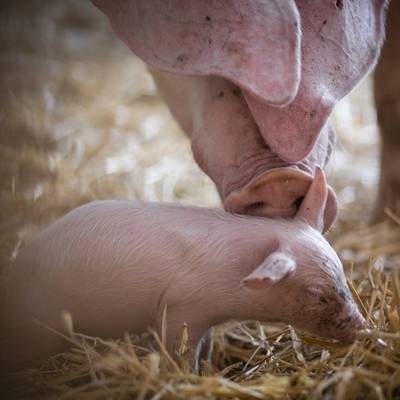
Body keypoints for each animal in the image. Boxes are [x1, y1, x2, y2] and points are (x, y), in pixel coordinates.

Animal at [0, 170, 366, 372]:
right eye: (317, 294)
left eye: (341, 273)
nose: (361, 326)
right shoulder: (182, 308)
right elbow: (181, 350)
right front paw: (186, 375)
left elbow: (205, 347)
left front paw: (208, 369)